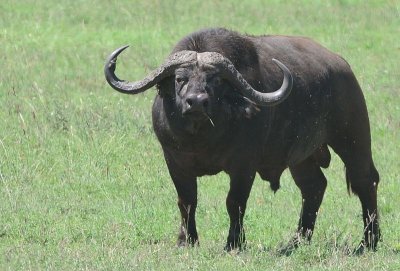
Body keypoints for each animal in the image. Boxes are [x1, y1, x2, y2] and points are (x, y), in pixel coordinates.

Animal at [104, 27, 380, 253]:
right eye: (180, 78)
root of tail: (342, 66)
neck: (202, 138)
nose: (196, 102)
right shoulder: (175, 162)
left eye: (215, 80)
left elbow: (234, 202)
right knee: (314, 187)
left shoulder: (244, 166)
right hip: (301, 157)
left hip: (352, 138)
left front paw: (234, 243)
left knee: (365, 180)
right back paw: (295, 241)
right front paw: (186, 241)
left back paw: (369, 241)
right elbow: (187, 201)